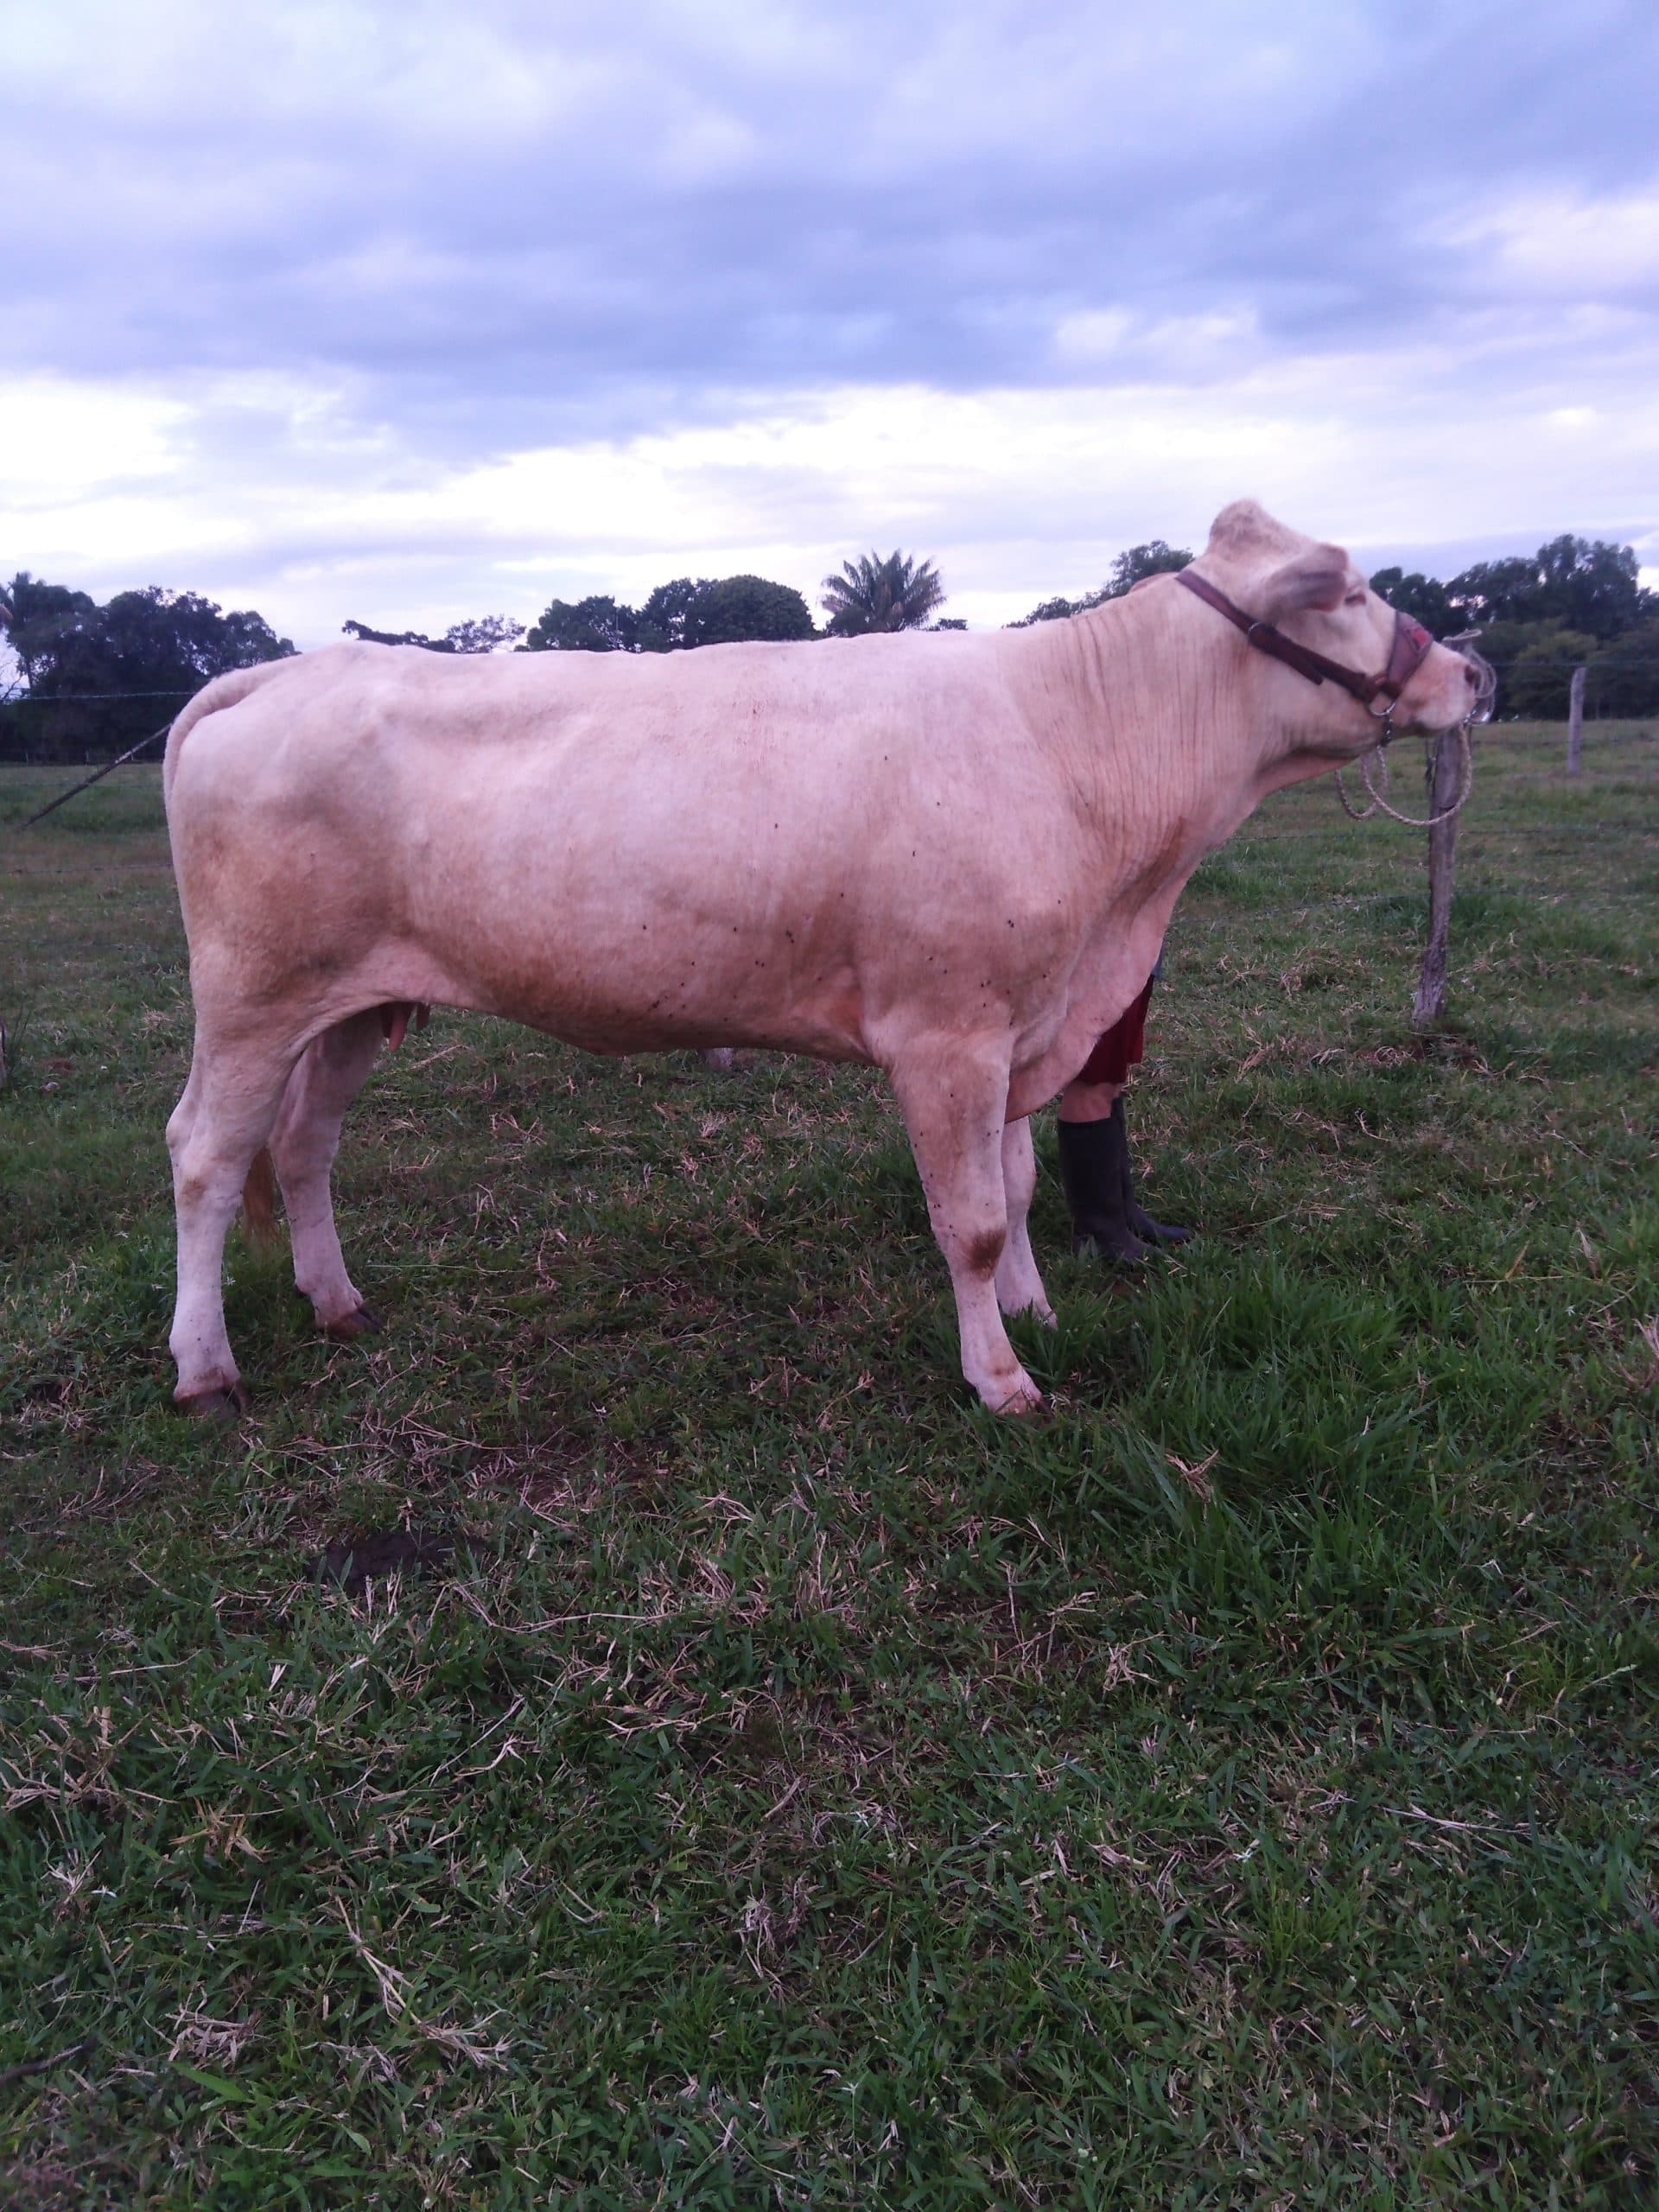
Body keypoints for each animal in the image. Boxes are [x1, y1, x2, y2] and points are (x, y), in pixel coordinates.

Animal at [161, 500, 1483, 1419]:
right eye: (1350, 588)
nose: (1472, 670)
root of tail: (286, 668)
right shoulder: (947, 1034)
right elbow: (971, 1219)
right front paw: (1000, 1379)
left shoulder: (1026, 1021)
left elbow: (1016, 1187)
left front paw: (1038, 1314)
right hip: (252, 996)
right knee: (207, 1158)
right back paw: (206, 1368)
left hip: (347, 1003)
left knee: (305, 1146)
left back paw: (338, 1304)